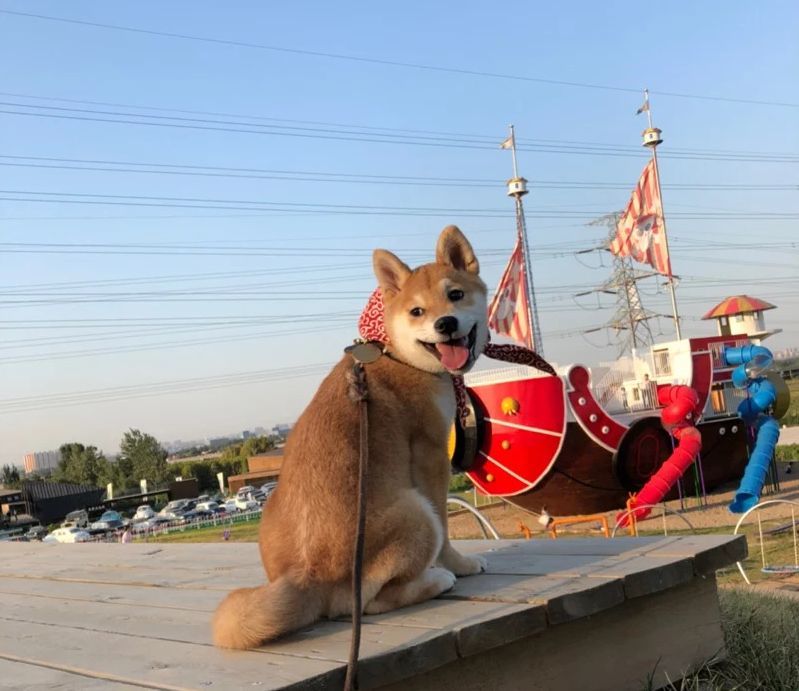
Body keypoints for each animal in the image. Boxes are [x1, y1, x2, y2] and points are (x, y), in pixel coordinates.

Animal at [212, 226, 488, 648]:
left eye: (455, 295)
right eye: (417, 312)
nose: (445, 323)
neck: (396, 354)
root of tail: (306, 578)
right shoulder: (430, 457)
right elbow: (446, 535)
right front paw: (461, 563)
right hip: (415, 512)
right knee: (373, 602)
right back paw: (438, 579)